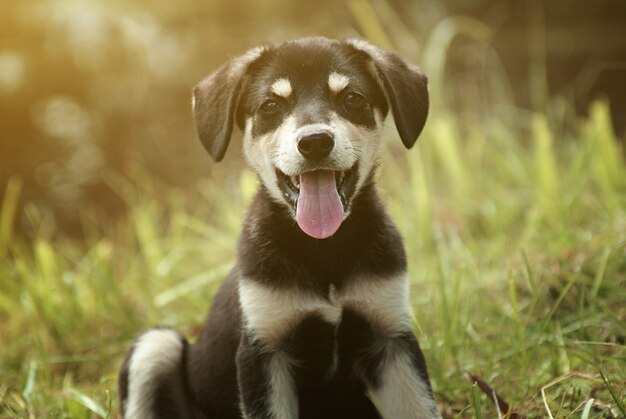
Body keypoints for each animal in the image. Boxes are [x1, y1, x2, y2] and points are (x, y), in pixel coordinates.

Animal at [117, 37, 438, 419]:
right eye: (271, 105)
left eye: (352, 98)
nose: (315, 142)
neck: (322, 248)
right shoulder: (264, 351)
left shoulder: (390, 338)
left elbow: (418, 408)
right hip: (156, 345)